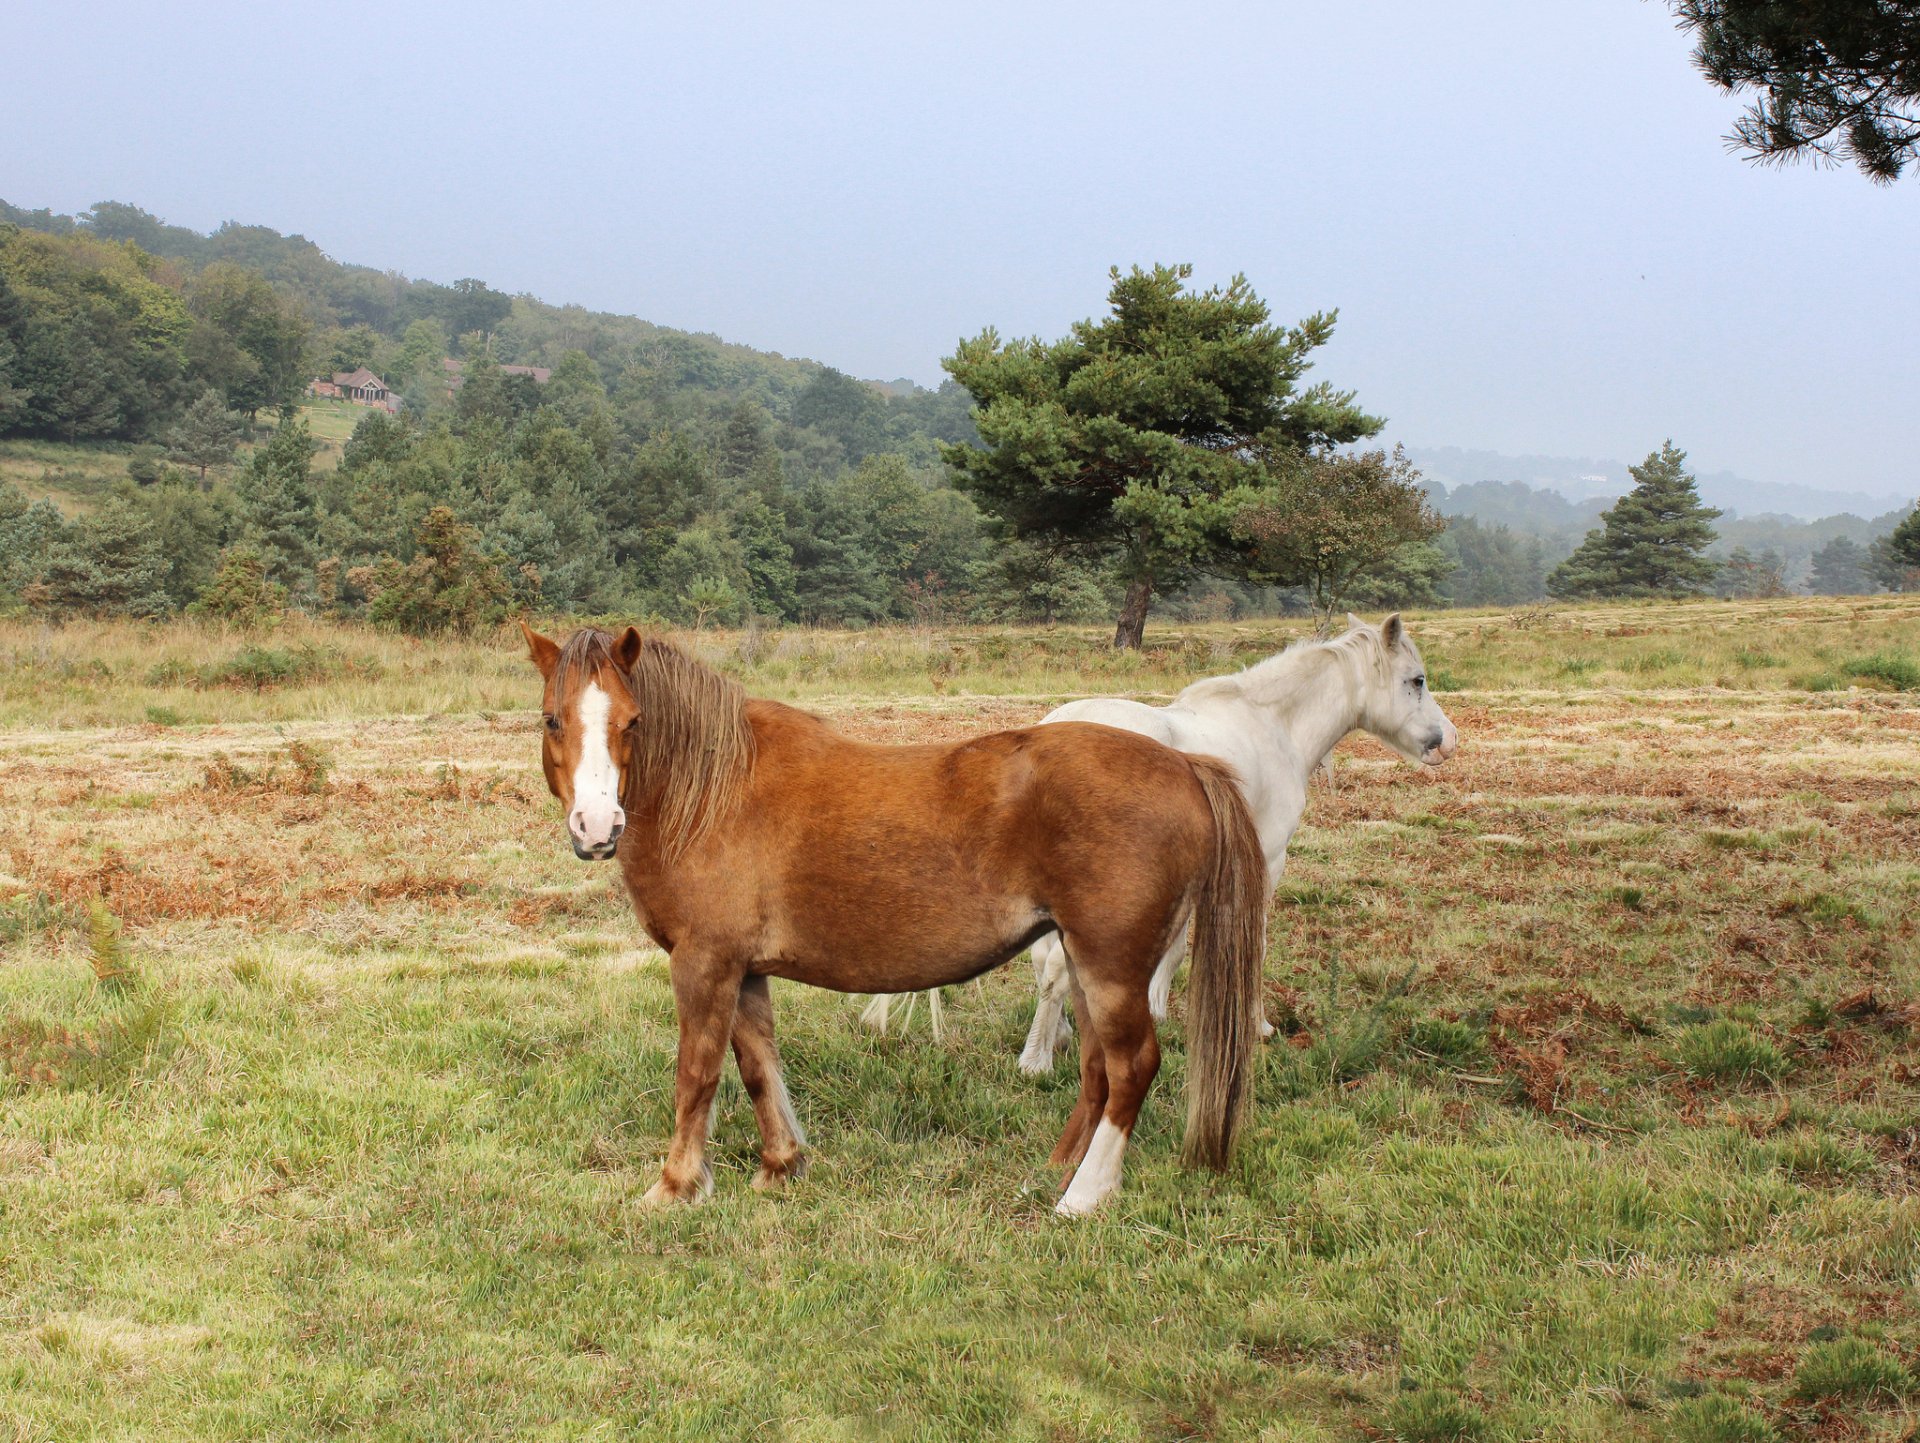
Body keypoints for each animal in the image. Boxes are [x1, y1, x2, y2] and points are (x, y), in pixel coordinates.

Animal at [520, 622, 1271, 1216]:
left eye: (632, 721)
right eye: (552, 720)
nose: (596, 826)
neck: (713, 792)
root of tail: (1184, 764)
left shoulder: (705, 962)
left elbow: (698, 1072)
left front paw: (676, 1185)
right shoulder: (745, 970)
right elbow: (758, 1064)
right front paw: (780, 1167)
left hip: (1111, 965)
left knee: (1133, 1065)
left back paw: (1084, 1196)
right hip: (1086, 964)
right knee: (1096, 1067)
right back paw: (1061, 1169)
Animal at [871, 614, 1460, 1071]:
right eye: (1416, 680)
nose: (1447, 742)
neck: (1271, 726)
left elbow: (1172, 949)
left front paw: (1154, 1010)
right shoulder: (1265, 863)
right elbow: (1250, 944)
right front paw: (1258, 1024)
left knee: (1046, 960)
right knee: (1055, 966)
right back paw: (1036, 1059)